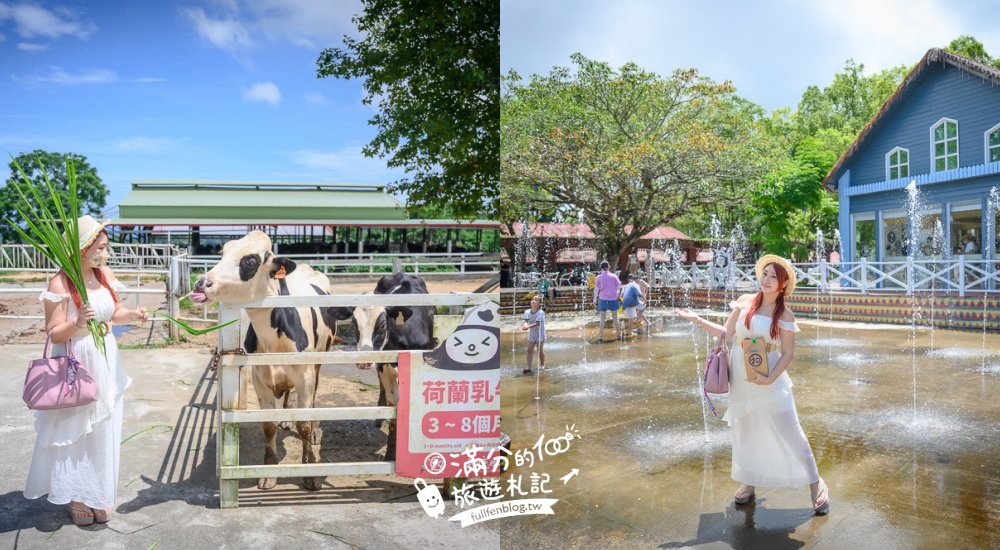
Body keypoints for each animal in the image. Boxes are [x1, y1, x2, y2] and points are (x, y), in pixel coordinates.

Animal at [189, 232, 338, 492]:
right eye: (222, 253)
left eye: (250, 261)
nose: (202, 283)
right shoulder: (260, 378)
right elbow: (268, 425)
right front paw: (269, 472)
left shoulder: (305, 376)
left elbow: (304, 424)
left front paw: (309, 470)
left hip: (319, 363)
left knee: (312, 401)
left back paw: (315, 429)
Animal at [330, 272, 436, 462]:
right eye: (353, 325)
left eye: (383, 325)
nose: (363, 361)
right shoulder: (384, 368)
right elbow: (394, 403)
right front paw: (391, 453)